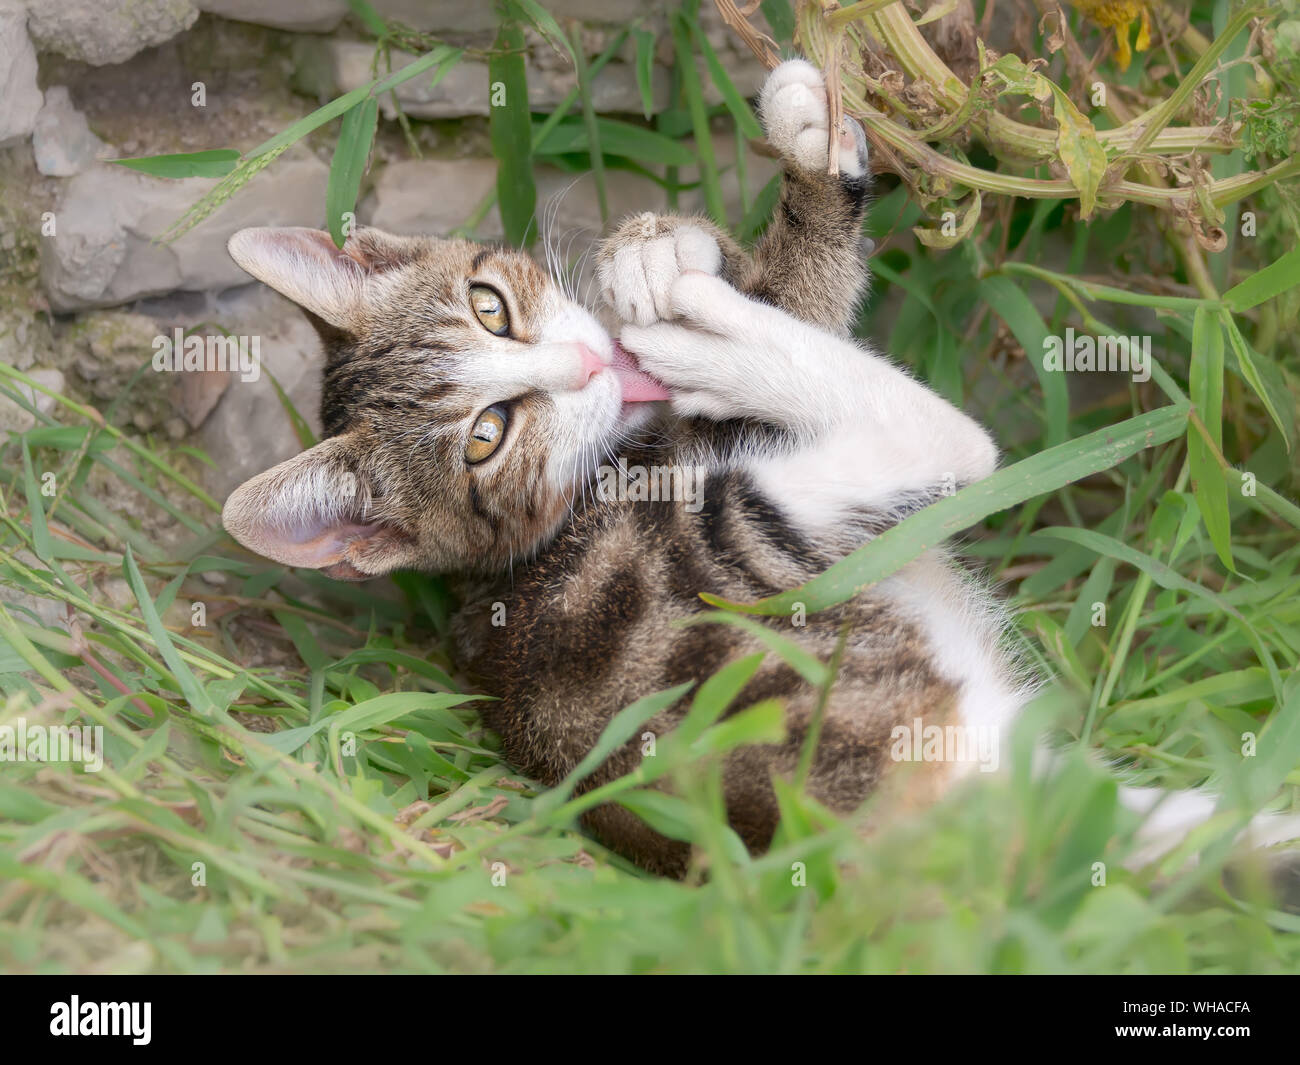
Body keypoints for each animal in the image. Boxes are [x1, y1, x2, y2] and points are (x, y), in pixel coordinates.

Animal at [220, 60, 1024, 873]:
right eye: (486, 437)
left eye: (489, 307)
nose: (585, 362)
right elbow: (802, 297)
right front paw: (796, 184)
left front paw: (664, 241)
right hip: (730, 538)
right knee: (949, 442)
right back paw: (718, 344)